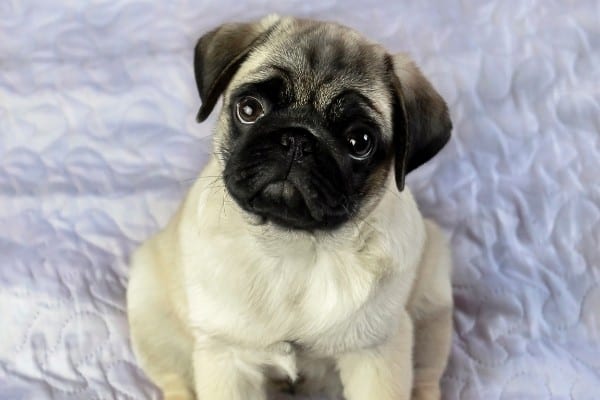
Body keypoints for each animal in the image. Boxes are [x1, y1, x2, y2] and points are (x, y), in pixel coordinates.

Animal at [127, 14, 454, 398]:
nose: (298, 139)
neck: (293, 249)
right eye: (249, 109)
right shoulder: (227, 357)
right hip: (152, 314)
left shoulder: (376, 355)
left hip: (433, 304)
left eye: (359, 142)